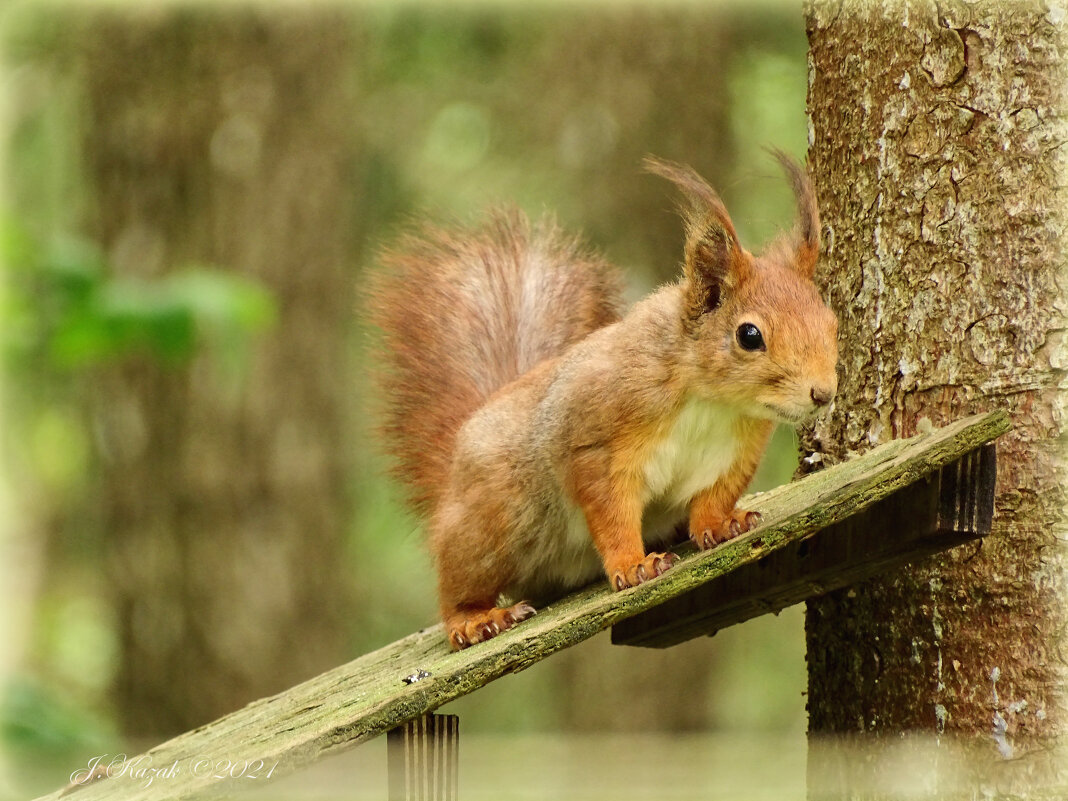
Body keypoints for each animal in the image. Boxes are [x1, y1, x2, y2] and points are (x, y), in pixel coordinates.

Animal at [371, 154, 837, 653]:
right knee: (456, 587)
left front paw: (723, 523)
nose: (823, 393)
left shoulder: (733, 454)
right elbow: (611, 511)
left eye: (832, 322)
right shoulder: (597, 440)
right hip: (491, 524)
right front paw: (634, 565)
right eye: (749, 335)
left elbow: (714, 496)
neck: (713, 403)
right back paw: (475, 620)